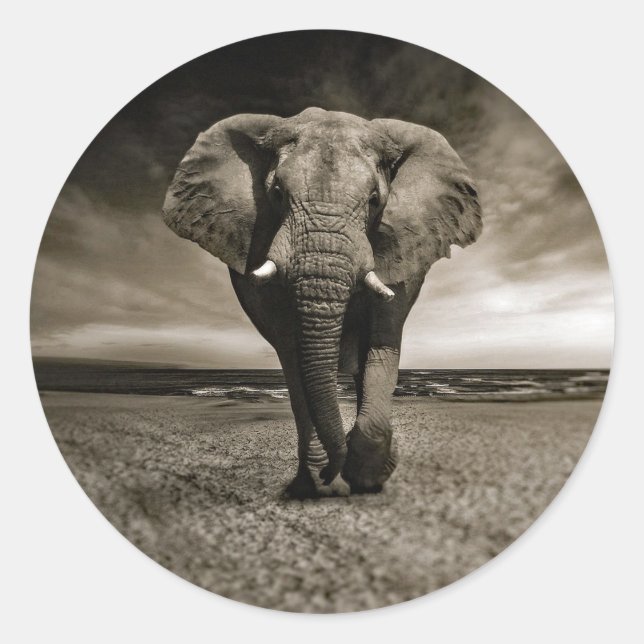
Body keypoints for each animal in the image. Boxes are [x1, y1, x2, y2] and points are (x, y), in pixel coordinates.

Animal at [163, 107, 482, 497]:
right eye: (277, 194)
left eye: (374, 201)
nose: (334, 471)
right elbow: (292, 352)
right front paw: (321, 484)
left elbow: (382, 342)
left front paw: (366, 477)